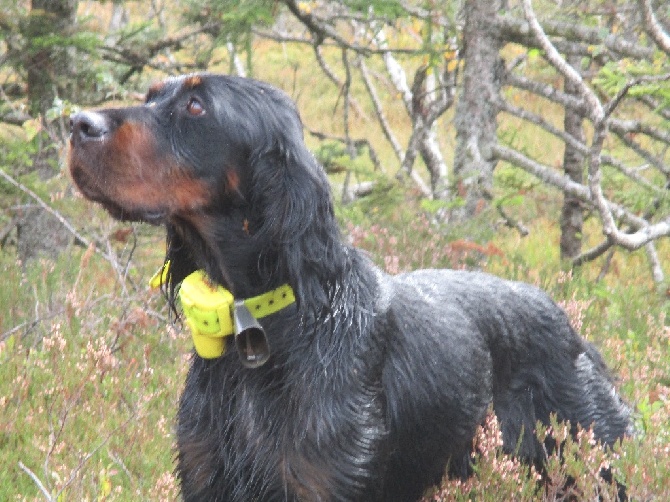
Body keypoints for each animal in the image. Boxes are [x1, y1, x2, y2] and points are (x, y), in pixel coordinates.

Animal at [71, 72, 632, 500]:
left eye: (195, 106)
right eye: (150, 96)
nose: (76, 123)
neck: (265, 323)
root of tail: (571, 328)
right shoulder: (207, 476)